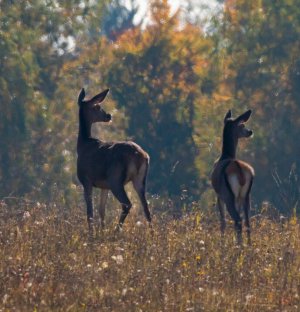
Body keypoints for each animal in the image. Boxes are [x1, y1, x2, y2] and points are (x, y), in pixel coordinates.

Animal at [77, 87, 152, 229]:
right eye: (97, 106)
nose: (109, 116)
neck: (82, 145)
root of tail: (140, 156)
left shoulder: (86, 180)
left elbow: (90, 213)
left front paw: (92, 232)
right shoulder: (103, 186)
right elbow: (101, 211)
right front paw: (101, 231)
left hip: (115, 179)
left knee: (127, 204)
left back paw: (117, 230)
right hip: (139, 179)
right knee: (146, 207)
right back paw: (152, 232)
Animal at [211, 109, 255, 244]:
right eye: (242, 125)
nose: (250, 131)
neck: (225, 155)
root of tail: (240, 172)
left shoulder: (219, 195)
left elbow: (223, 221)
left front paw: (222, 242)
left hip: (228, 195)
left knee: (237, 219)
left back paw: (238, 245)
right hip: (246, 195)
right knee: (247, 221)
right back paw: (248, 245)